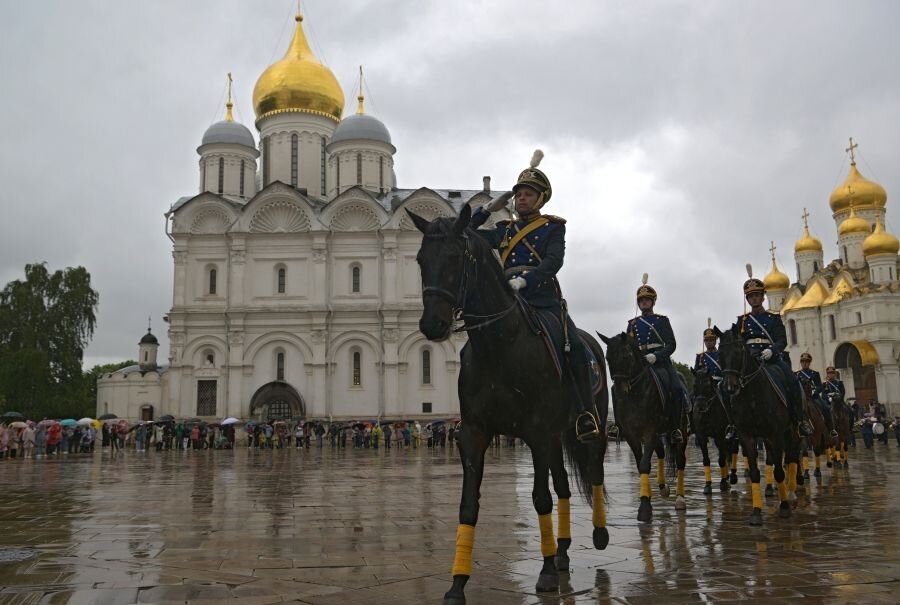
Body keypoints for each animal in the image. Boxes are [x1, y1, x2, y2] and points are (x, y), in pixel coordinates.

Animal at [410, 205, 608, 600]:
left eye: (454, 257)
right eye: (421, 259)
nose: (432, 325)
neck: (499, 345)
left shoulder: (537, 433)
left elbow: (541, 498)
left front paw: (544, 573)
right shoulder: (475, 434)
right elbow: (468, 507)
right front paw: (457, 584)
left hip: (591, 426)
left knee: (594, 472)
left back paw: (598, 533)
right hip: (557, 437)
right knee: (564, 485)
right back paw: (562, 551)